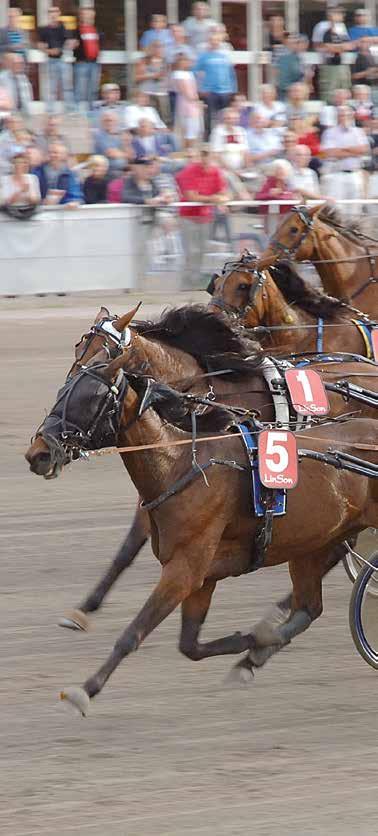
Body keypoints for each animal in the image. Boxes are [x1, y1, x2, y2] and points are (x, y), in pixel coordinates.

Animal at [23, 336, 378, 716]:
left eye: (89, 398)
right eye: (63, 390)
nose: (38, 453)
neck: (180, 464)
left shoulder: (185, 570)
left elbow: (134, 633)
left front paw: (85, 689)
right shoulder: (205, 576)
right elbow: (190, 645)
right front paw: (254, 641)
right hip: (313, 544)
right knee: (308, 608)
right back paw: (257, 652)